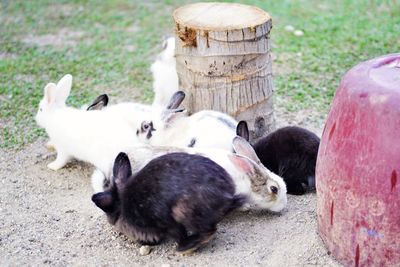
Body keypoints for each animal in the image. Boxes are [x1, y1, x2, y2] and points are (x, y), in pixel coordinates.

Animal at [92, 152, 245, 254]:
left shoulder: (166, 223)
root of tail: (227, 196)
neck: (123, 204)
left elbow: (178, 233)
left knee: (208, 231)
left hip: (182, 211)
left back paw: (185, 247)